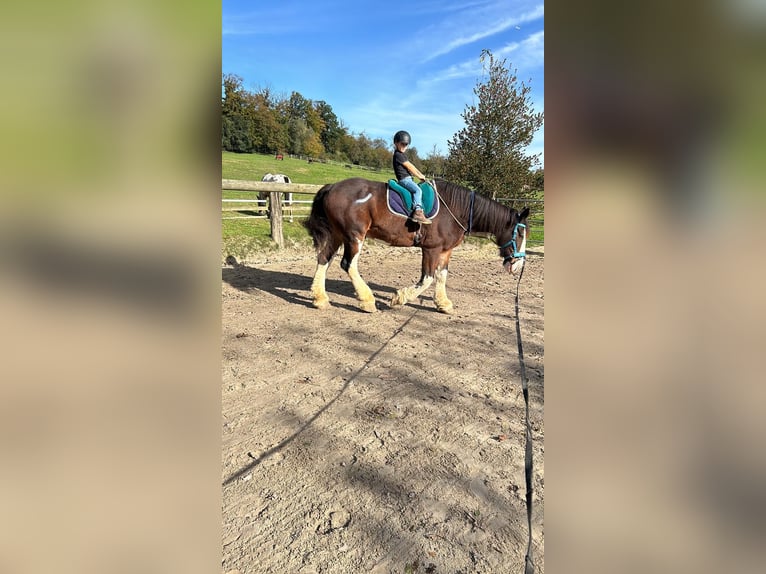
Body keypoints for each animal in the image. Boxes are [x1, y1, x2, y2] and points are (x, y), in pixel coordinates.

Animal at [304, 179, 532, 316]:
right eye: (521, 233)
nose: (518, 265)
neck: (456, 209)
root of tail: (332, 187)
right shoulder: (431, 249)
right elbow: (428, 278)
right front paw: (399, 298)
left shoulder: (445, 251)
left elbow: (441, 276)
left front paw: (443, 304)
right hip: (354, 236)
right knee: (348, 264)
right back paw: (367, 301)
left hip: (337, 234)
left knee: (324, 258)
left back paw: (320, 299)